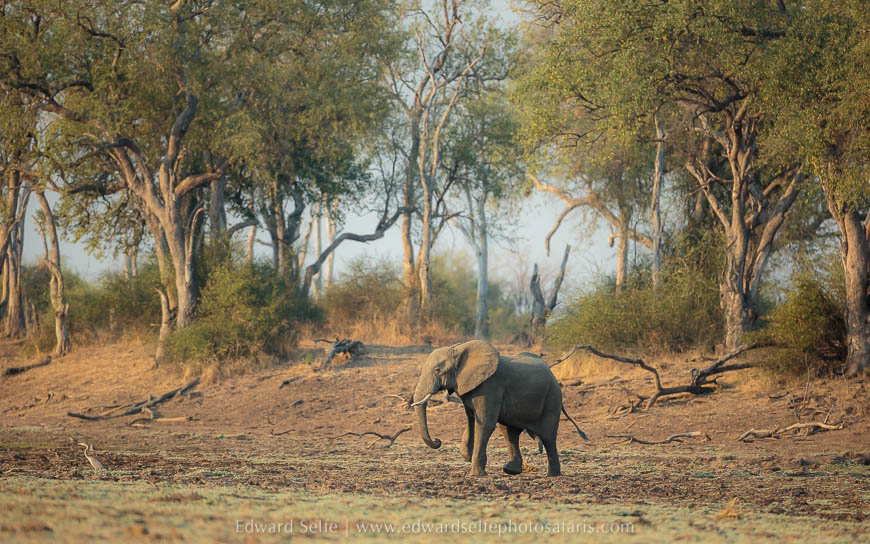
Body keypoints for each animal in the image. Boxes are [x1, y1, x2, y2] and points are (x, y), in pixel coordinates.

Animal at [411, 340, 587, 477]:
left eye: (437, 370)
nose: (438, 440)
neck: (460, 349)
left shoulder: (489, 386)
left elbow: (484, 424)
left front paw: (475, 475)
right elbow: (471, 420)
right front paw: (467, 455)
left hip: (552, 397)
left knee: (548, 437)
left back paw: (552, 475)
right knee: (510, 432)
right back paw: (511, 470)